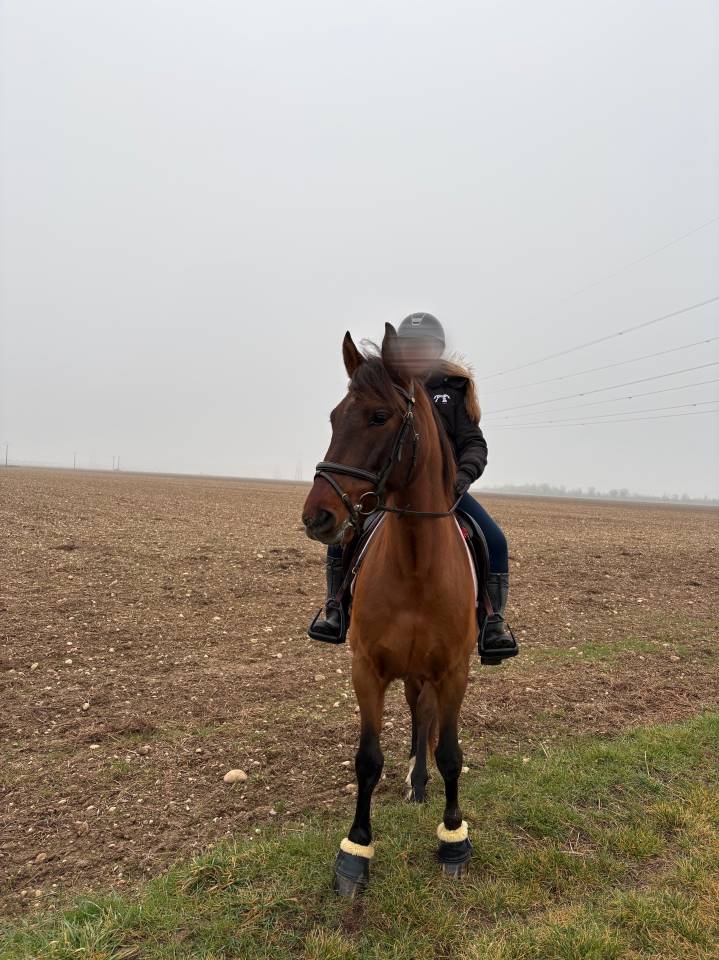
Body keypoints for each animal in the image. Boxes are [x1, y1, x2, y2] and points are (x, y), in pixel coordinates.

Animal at [301, 323, 478, 896]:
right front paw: (356, 849)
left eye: (379, 417)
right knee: (416, 717)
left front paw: (453, 838)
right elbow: (367, 759)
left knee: (426, 724)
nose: (317, 516)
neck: (417, 565)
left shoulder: (453, 671)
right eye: (335, 416)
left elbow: (451, 754)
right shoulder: (368, 669)